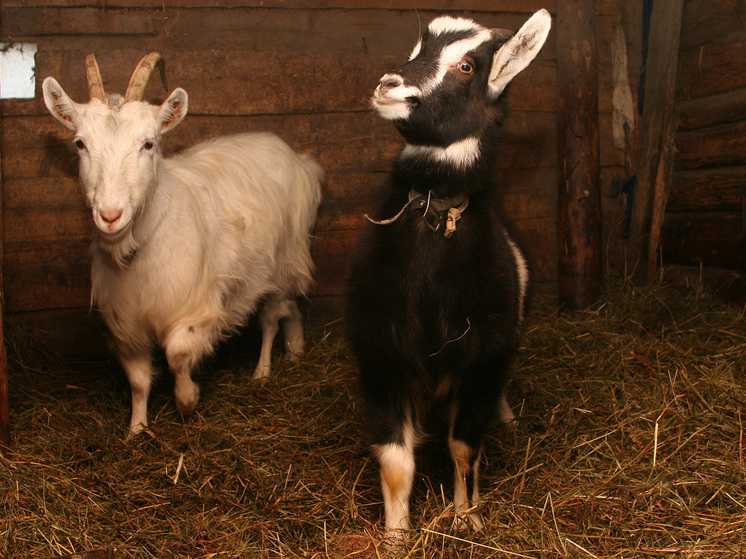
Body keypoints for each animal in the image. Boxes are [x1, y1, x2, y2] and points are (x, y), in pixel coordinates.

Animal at [42, 53, 322, 438]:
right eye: (80, 143)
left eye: (149, 143)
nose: (111, 215)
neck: (142, 248)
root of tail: (298, 159)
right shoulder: (127, 323)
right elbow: (138, 380)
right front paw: (136, 429)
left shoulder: (194, 307)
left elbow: (177, 353)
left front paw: (188, 400)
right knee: (289, 309)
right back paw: (295, 351)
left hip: (281, 261)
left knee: (270, 319)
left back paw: (262, 373)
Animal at [346, 9, 548, 540]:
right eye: (419, 46)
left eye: (467, 66)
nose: (389, 85)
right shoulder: (382, 359)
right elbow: (397, 463)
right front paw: (397, 537)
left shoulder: (481, 361)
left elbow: (463, 448)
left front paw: (467, 517)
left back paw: (507, 418)